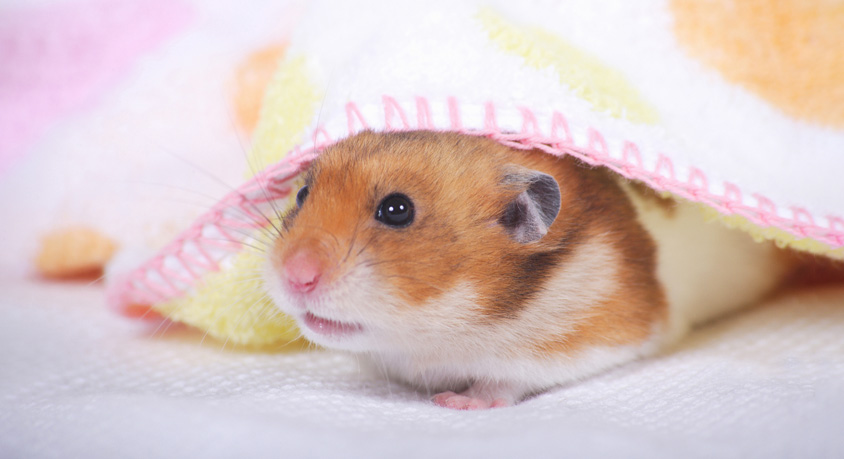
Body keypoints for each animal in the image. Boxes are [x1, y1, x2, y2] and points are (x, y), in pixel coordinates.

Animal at [262, 130, 791, 409]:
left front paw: (454, 402)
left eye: (397, 210)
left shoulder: (592, 337)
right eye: (302, 194)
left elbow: (506, 379)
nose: (294, 276)